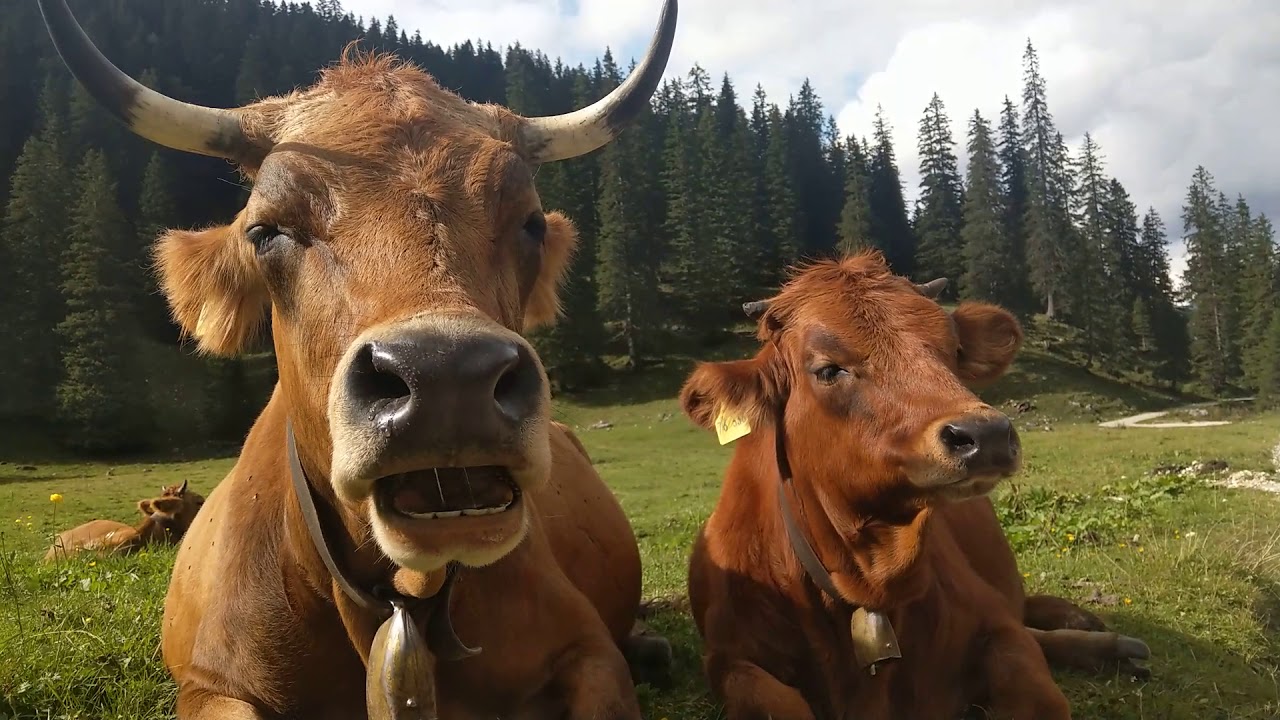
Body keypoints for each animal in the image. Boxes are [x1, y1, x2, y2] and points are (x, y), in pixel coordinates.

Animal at [677, 251, 1151, 720]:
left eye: (954, 349)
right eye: (828, 369)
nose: (987, 435)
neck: (869, 581)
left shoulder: (995, 625)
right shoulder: (730, 658)